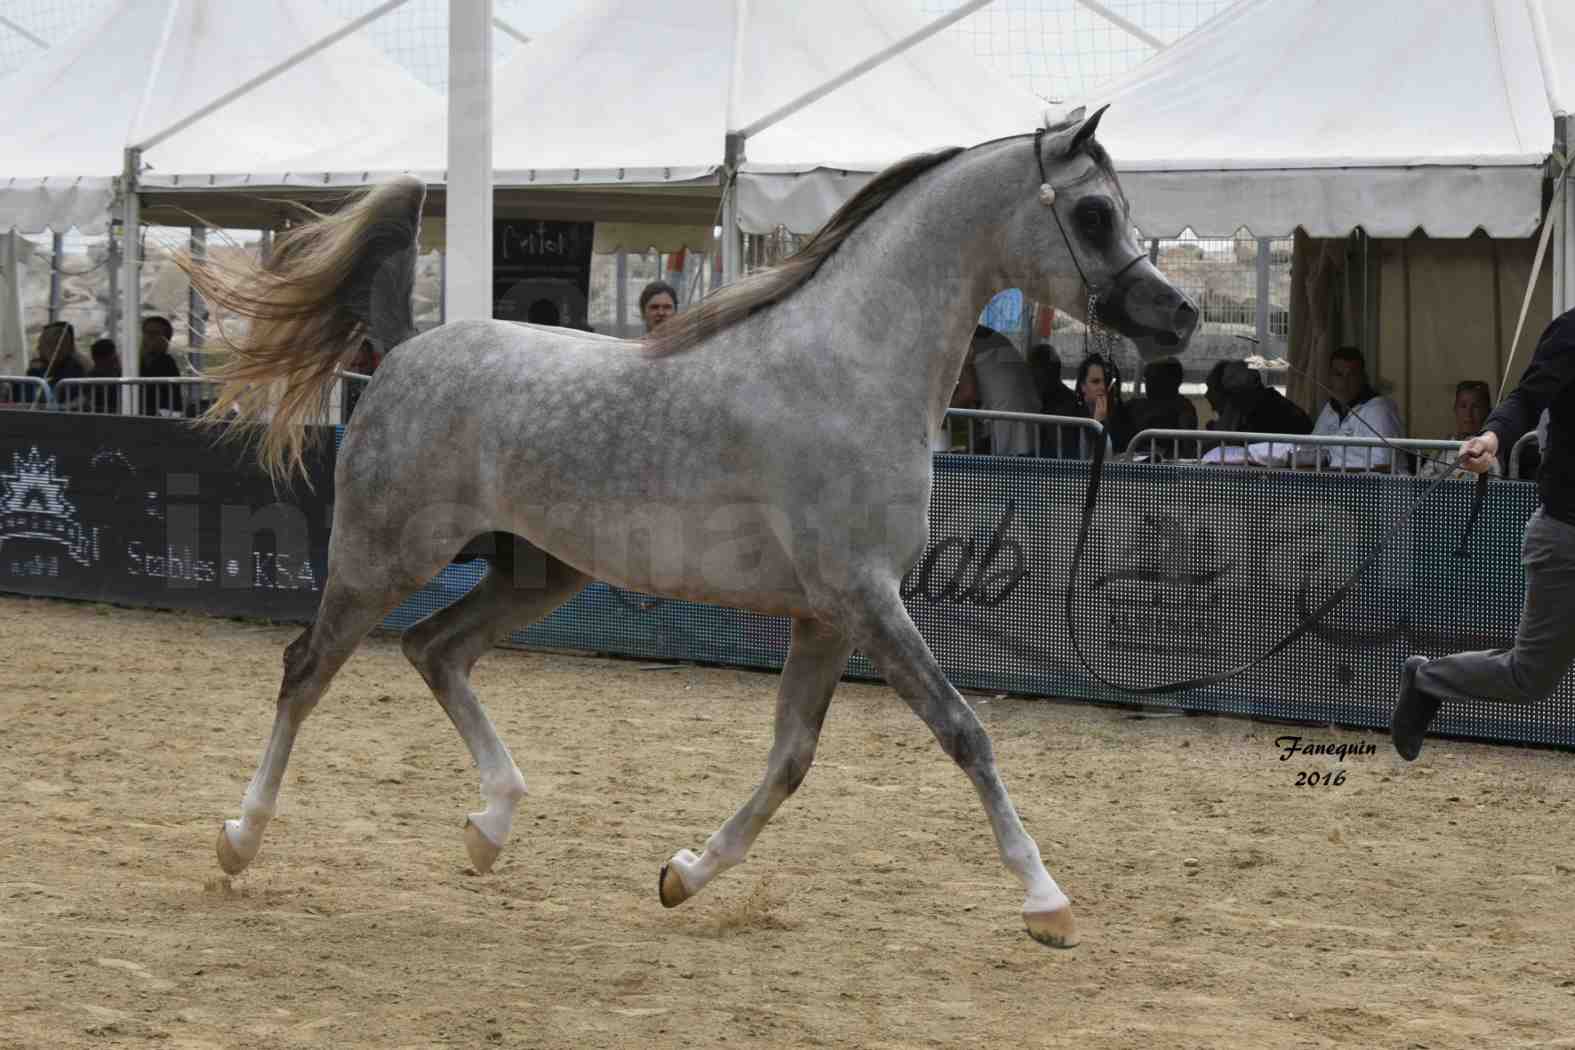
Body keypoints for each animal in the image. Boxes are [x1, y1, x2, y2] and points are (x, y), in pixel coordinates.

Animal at [184, 108, 1190, 950]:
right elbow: (963, 732)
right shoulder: (864, 599)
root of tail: (401, 352)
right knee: (308, 670)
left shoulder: (828, 616)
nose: (1176, 314)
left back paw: (490, 825)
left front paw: (684, 875)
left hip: (537, 573)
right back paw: (240, 840)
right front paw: (1046, 902)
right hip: (382, 558)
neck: (850, 370)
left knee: (435, 651)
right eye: (1093, 213)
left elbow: (790, 759)